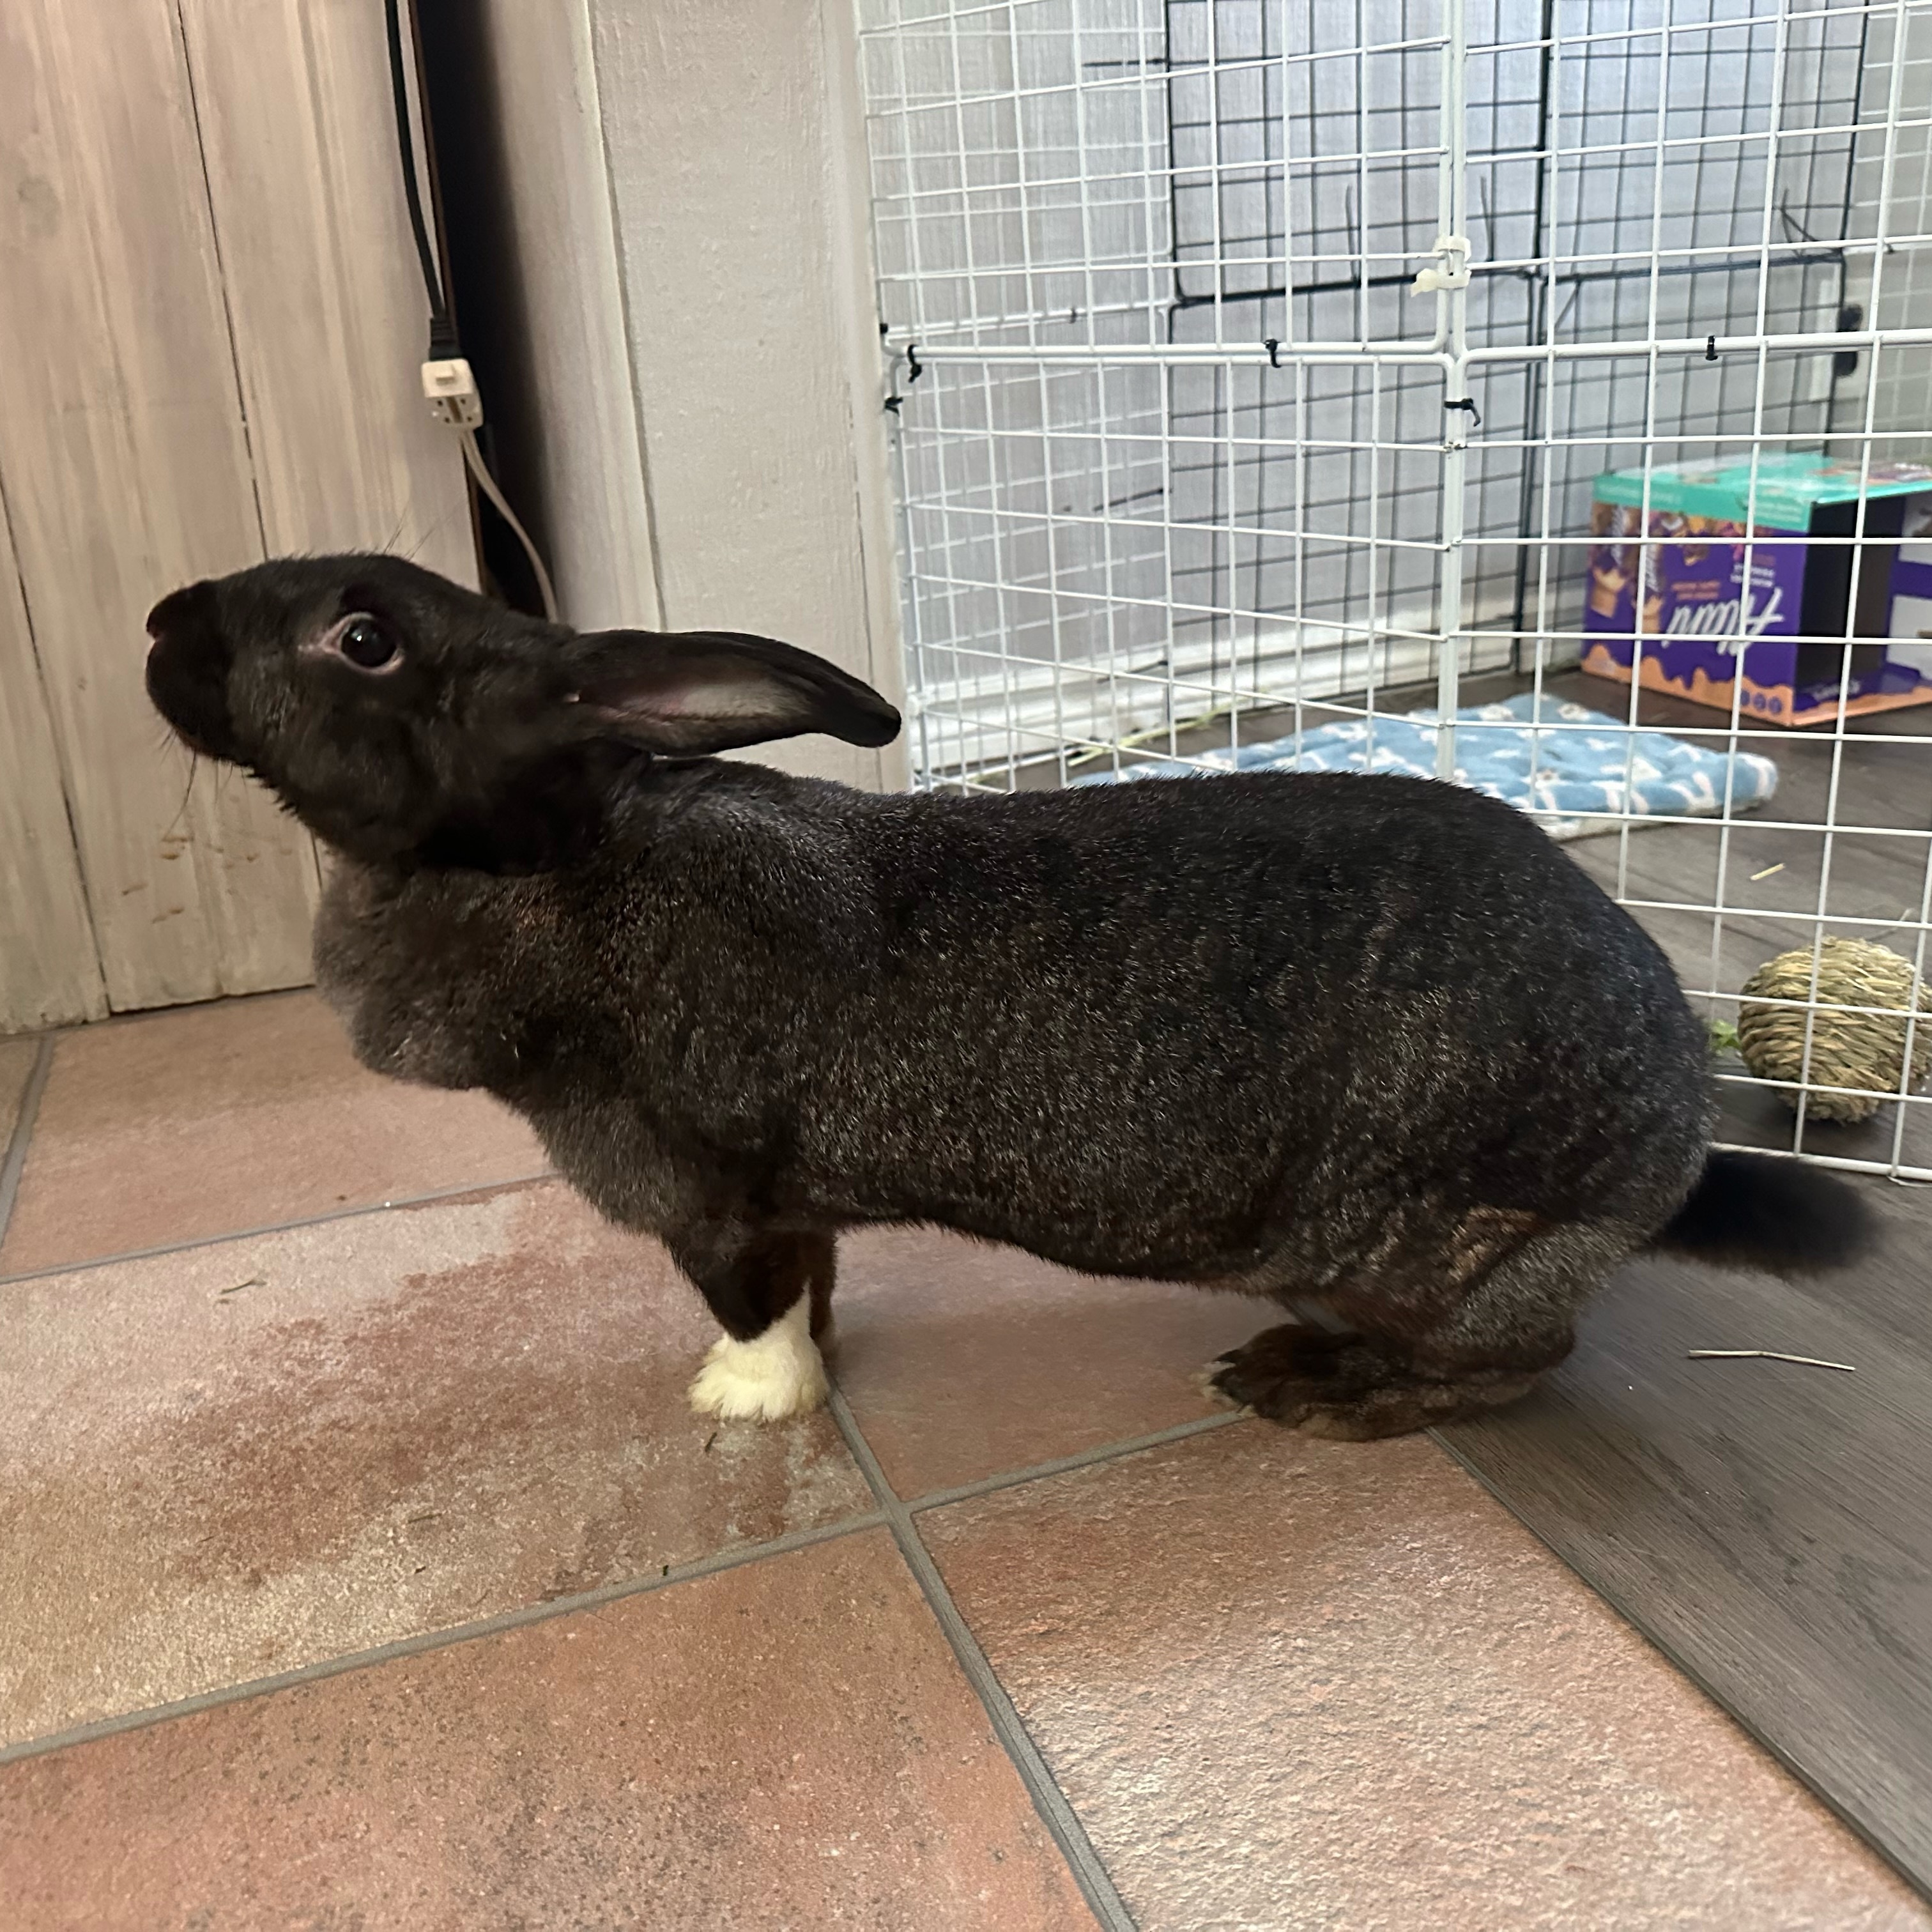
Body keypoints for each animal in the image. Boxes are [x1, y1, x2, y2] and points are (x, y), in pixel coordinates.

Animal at [143, 554, 1873, 1438]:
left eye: (361, 637)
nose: (159, 620)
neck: (540, 861)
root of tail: (1674, 1139)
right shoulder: (791, 1204)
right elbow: (814, 1280)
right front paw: (807, 1364)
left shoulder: (711, 1196)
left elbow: (748, 1302)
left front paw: (745, 1404)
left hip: (1436, 1263)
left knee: (1524, 1366)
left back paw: (1306, 1391)